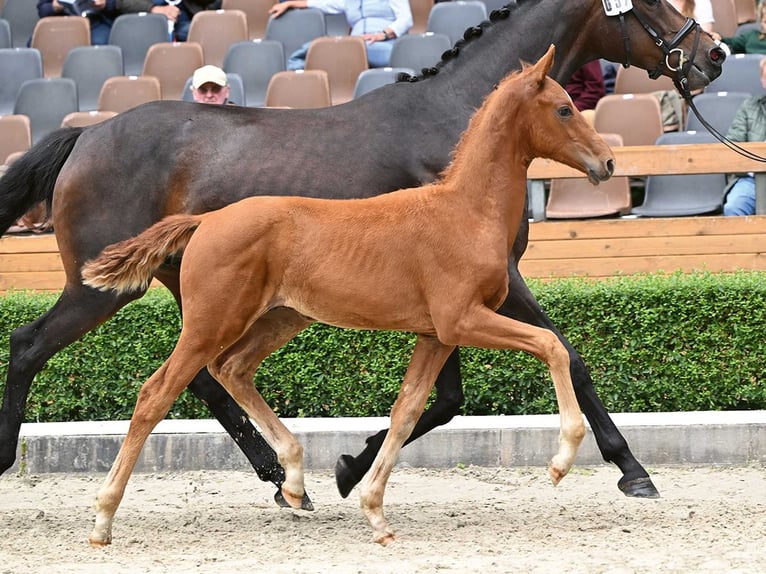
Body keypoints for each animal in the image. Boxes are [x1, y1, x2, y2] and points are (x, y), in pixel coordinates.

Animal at [81, 46, 616, 548]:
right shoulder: (463, 319)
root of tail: (205, 220)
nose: (607, 162)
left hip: (280, 318)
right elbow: (552, 346)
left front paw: (375, 513)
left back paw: (295, 482)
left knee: (232, 369)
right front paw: (562, 460)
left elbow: (405, 412)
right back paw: (103, 519)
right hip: (211, 323)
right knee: (156, 394)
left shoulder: (436, 335)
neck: (464, 211)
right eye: (564, 108)